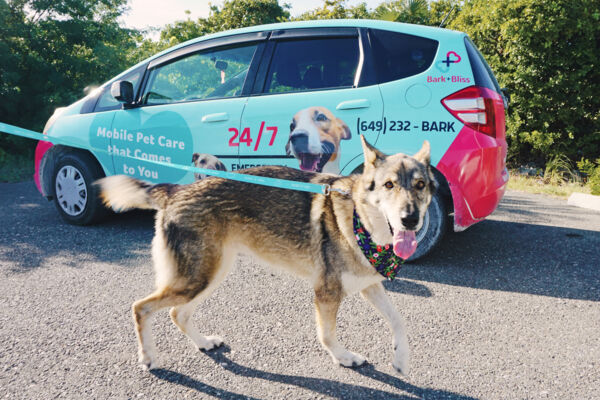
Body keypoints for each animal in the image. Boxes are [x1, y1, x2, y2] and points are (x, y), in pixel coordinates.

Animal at [98, 136, 436, 374]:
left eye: (420, 185)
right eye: (389, 185)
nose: (410, 219)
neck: (359, 219)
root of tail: (176, 190)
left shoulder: (369, 286)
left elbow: (399, 321)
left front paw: (401, 360)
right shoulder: (326, 294)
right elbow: (327, 335)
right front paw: (344, 358)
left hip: (211, 275)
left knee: (176, 313)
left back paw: (204, 344)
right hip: (198, 279)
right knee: (141, 308)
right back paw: (148, 357)